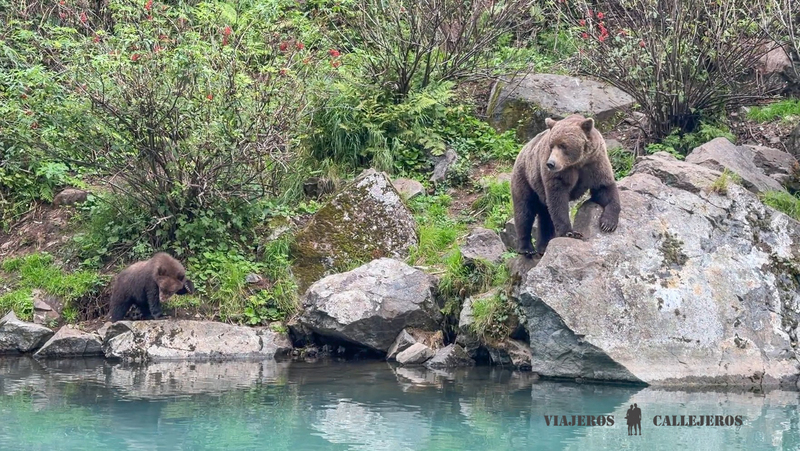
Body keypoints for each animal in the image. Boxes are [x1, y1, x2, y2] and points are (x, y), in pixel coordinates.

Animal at [511, 114, 620, 257]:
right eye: (551, 145)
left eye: (563, 145)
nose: (550, 163)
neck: (578, 162)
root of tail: (523, 149)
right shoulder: (559, 175)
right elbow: (558, 199)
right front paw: (570, 232)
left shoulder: (595, 163)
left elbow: (605, 188)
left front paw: (608, 223)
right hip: (525, 178)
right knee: (524, 211)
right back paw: (526, 248)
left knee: (545, 215)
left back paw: (543, 246)